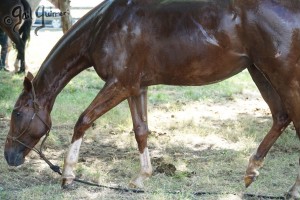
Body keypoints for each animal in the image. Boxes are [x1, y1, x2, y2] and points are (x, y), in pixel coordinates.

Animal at [3, 0, 300, 198]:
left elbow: (83, 120)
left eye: (17, 113)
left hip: (283, 76)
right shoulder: (136, 88)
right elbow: (141, 130)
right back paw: (251, 172)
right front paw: (141, 178)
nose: (9, 156)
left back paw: (292, 189)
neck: (105, 26)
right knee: (281, 117)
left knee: (293, 120)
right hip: (259, 72)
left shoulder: (119, 84)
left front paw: (67, 175)